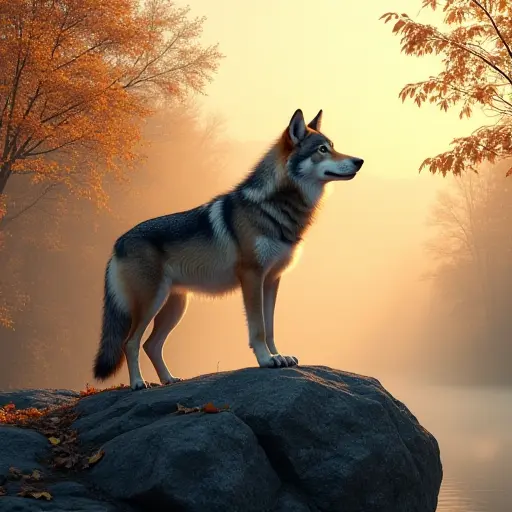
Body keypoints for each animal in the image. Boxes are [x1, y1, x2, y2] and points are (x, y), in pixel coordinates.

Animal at [92, 108, 364, 388]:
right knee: (131, 343)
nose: (359, 161)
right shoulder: (252, 277)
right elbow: (258, 328)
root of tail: (117, 243)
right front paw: (266, 360)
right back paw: (138, 383)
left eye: (333, 147)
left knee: (151, 345)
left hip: (176, 306)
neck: (273, 208)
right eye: (322, 149)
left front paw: (278, 356)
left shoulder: (272, 280)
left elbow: (270, 327)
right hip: (151, 304)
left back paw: (169, 379)